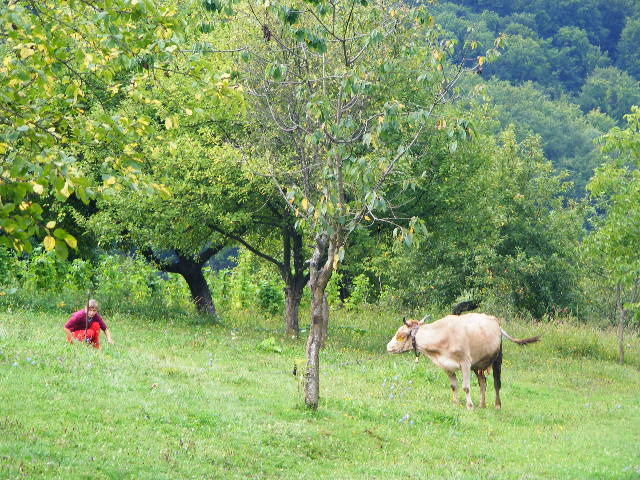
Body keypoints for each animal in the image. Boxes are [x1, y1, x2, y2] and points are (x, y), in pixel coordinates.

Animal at [384, 314, 540, 410]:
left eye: (400, 336)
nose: (388, 347)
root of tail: (494, 321)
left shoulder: (465, 363)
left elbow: (466, 387)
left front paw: (469, 406)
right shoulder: (447, 366)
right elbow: (454, 386)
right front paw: (455, 402)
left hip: (497, 360)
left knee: (497, 384)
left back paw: (497, 405)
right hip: (478, 365)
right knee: (483, 382)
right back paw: (482, 404)